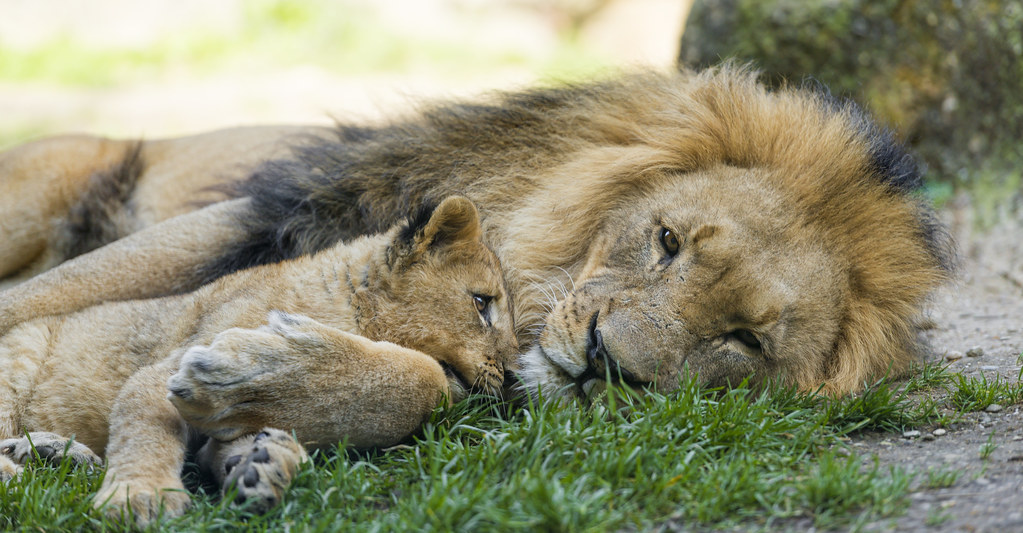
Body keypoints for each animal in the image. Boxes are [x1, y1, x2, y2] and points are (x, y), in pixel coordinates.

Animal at [0, 66, 949, 409]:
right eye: (667, 241)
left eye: (744, 339)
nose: (605, 361)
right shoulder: (261, 213)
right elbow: (47, 298)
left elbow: (420, 380)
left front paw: (266, 370)